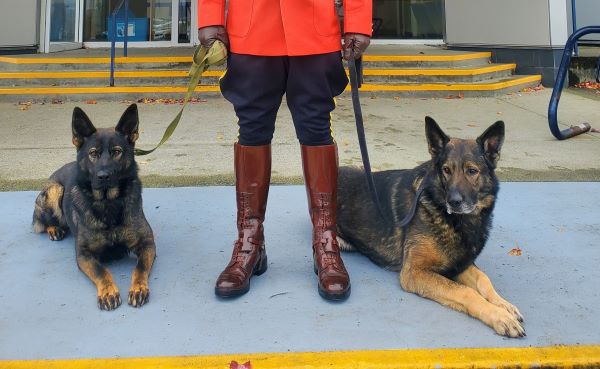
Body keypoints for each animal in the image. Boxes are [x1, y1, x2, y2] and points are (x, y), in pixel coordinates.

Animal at [31, 103, 156, 310]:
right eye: (93, 153)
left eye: (116, 151)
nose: (103, 176)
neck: (108, 203)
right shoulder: (83, 254)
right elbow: (101, 271)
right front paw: (108, 291)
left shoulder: (147, 244)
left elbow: (139, 268)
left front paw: (138, 288)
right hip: (55, 190)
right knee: (44, 220)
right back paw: (54, 229)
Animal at [338, 117, 524, 336]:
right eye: (446, 170)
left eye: (472, 171)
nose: (454, 202)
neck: (457, 222)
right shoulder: (415, 272)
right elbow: (467, 291)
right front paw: (499, 316)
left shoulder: (460, 264)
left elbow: (483, 280)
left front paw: (503, 305)